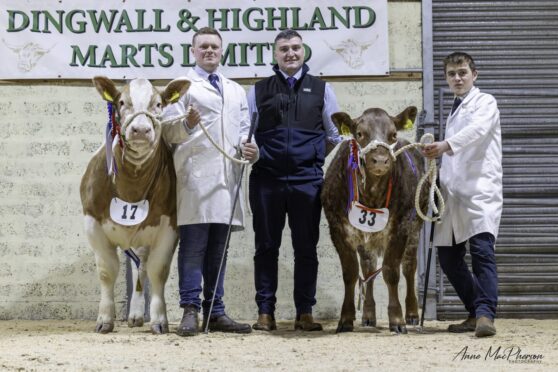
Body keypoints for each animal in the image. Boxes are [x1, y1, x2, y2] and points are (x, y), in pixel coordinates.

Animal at [80, 75, 190, 334]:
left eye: (158, 104)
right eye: (121, 102)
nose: (140, 129)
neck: (131, 186)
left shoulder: (169, 227)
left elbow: (158, 271)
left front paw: (159, 320)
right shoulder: (92, 224)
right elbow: (107, 271)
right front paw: (104, 319)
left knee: (142, 267)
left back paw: (138, 314)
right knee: (137, 266)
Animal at [324, 106, 428, 332]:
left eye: (393, 134)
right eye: (359, 134)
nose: (380, 160)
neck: (371, 196)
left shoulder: (401, 228)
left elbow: (391, 272)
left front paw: (397, 319)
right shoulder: (338, 229)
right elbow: (351, 273)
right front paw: (346, 318)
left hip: (416, 227)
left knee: (409, 267)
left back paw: (412, 313)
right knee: (368, 268)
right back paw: (369, 315)